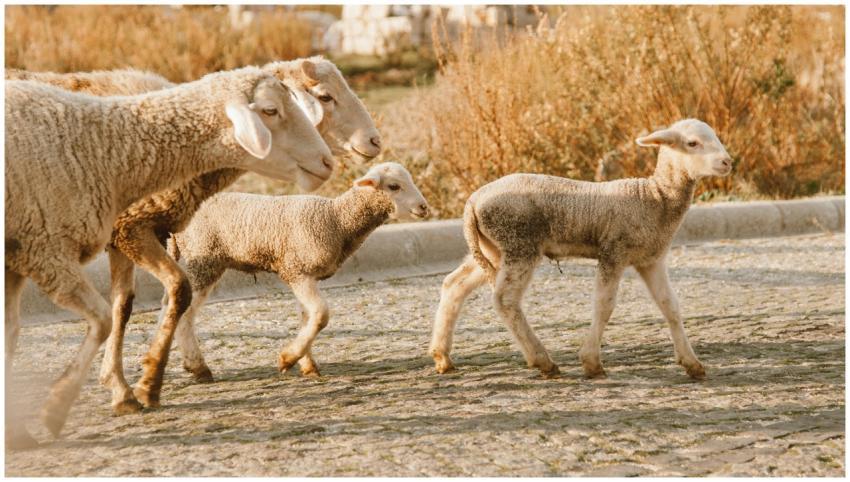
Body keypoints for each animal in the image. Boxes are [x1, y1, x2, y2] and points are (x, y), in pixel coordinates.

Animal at [9, 57, 381, 416]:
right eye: (324, 97)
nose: (375, 141)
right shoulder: (134, 228)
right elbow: (177, 289)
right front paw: (149, 381)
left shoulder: (125, 232)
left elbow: (123, 307)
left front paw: (120, 386)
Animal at [167, 162, 428, 381]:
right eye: (394, 186)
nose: (424, 207)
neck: (337, 220)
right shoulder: (296, 271)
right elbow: (321, 315)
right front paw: (288, 358)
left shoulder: (306, 274)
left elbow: (307, 317)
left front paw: (307, 364)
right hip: (204, 259)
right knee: (186, 312)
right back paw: (198, 367)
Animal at [429, 119, 733, 380]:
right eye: (692, 143)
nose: (728, 161)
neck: (655, 197)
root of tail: (473, 201)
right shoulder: (614, 252)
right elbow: (604, 305)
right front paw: (591, 362)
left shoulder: (651, 259)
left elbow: (670, 306)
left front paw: (691, 363)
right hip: (519, 244)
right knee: (505, 299)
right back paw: (542, 360)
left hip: (492, 249)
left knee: (454, 284)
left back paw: (442, 356)